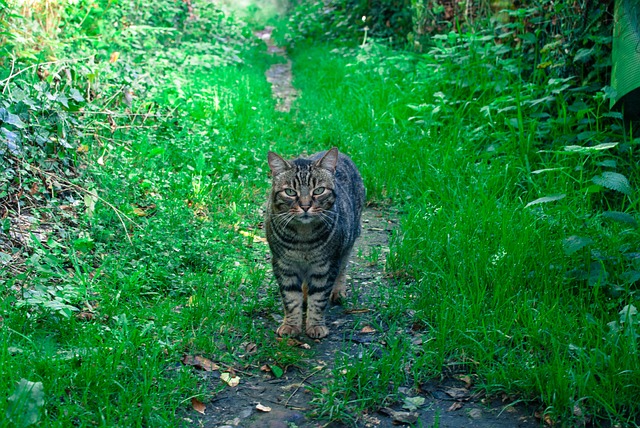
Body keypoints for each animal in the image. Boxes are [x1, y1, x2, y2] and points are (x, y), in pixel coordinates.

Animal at [264, 147, 364, 338]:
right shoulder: (283, 265)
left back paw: (338, 291)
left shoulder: (325, 266)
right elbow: (290, 298)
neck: (303, 239)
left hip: (348, 243)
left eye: (318, 190)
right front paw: (291, 325)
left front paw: (316, 325)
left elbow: (318, 298)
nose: (305, 206)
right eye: (290, 192)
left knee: (343, 267)